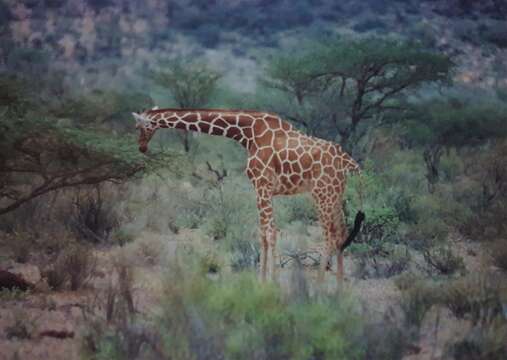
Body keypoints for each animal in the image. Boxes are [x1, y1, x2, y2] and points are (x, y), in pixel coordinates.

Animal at [134, 107, 366, 282]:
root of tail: (348, 161)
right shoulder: (261, 188)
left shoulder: (262, 185)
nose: (141, 147)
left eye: (141, 126)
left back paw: (319, 285)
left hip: (321, 193)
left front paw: (271, 282)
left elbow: (270, 233)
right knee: (342, 233)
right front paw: (261, 280)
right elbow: (262, 233)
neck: (247, 133)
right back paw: (340, 289)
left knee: (329, 235)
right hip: (335, 193)